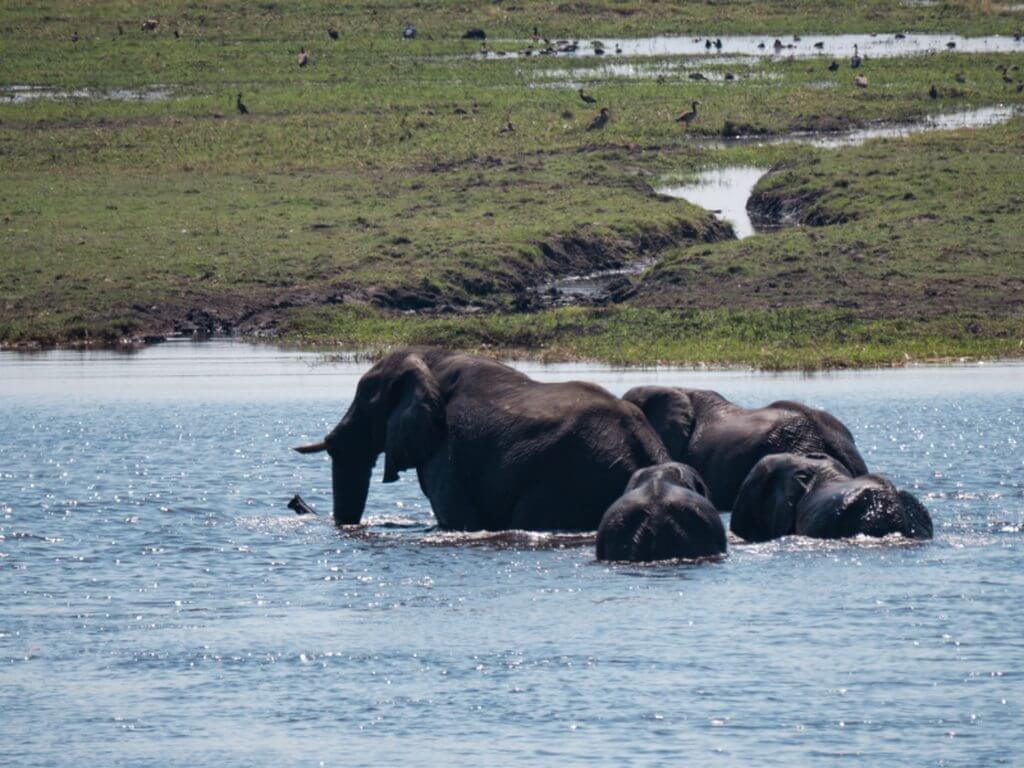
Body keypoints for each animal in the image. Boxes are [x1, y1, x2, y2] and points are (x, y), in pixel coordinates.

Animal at [292, 348, 667, 532]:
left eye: (365, 398)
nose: (297, 504)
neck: (430, 363)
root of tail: (644, 450)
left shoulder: (450, 450)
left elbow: (457, 517)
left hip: (566, 481)